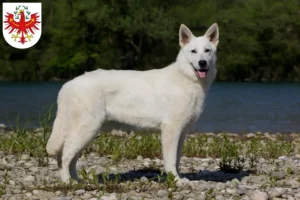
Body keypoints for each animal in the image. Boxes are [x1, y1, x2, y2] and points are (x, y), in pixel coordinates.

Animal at [45, 23, 219, 183]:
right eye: (193, 51)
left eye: (207, 51)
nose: (202, 63)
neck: (187, 79)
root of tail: (69, 84)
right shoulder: (171, 130)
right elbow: (170, 160)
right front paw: (175, 180)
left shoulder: (182, 132)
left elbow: (177, 159)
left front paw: (178, 178)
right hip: (88, 129)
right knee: (65, 156)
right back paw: (68, 182)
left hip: (86, 133)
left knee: (69, 158)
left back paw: (77, 181)